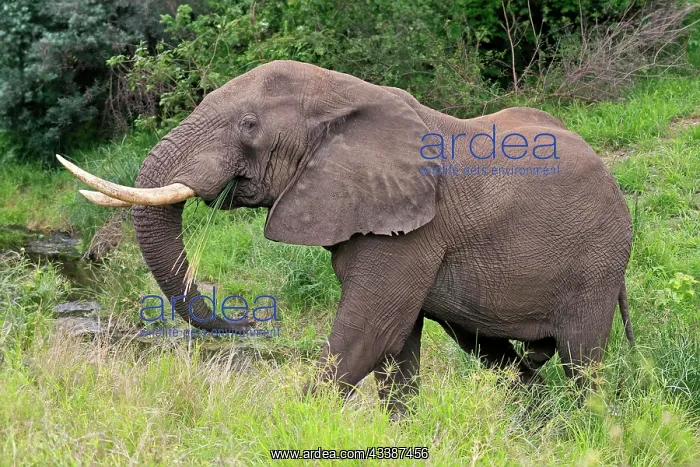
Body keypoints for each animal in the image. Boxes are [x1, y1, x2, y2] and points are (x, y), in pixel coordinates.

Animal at [59, 60, 634, 412]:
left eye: (249, 125)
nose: (248, 318)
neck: (343, 94)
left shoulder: (411, 232)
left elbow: (368, 331)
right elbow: (396, 348)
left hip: (597, 262)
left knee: (582, 362)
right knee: (496, 352)